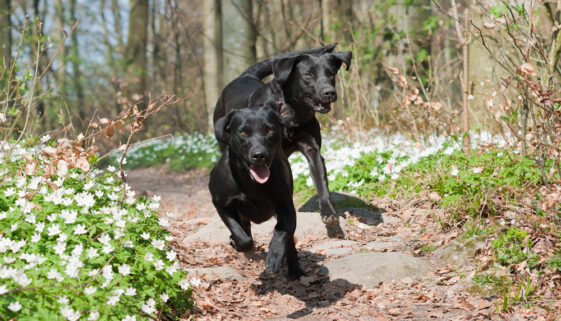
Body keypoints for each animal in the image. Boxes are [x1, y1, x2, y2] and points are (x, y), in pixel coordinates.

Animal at [208, 106, 302, 276]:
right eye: (243, 132)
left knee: (290, 241)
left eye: (269, 130)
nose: (259, 155)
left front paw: (274, 257)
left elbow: (281, 232)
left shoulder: (286, 206)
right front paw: (237, 243)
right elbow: (242, 236)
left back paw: (294, 270)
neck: (249, 181)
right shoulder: (221, 205)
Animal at [213, 45, 350, 236]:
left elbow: (321, 183)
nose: (329, 92)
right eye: (308, 75)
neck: (294, 112)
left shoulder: (312, 150)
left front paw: (328, 212)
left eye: (331, 74)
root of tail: (244, 76)